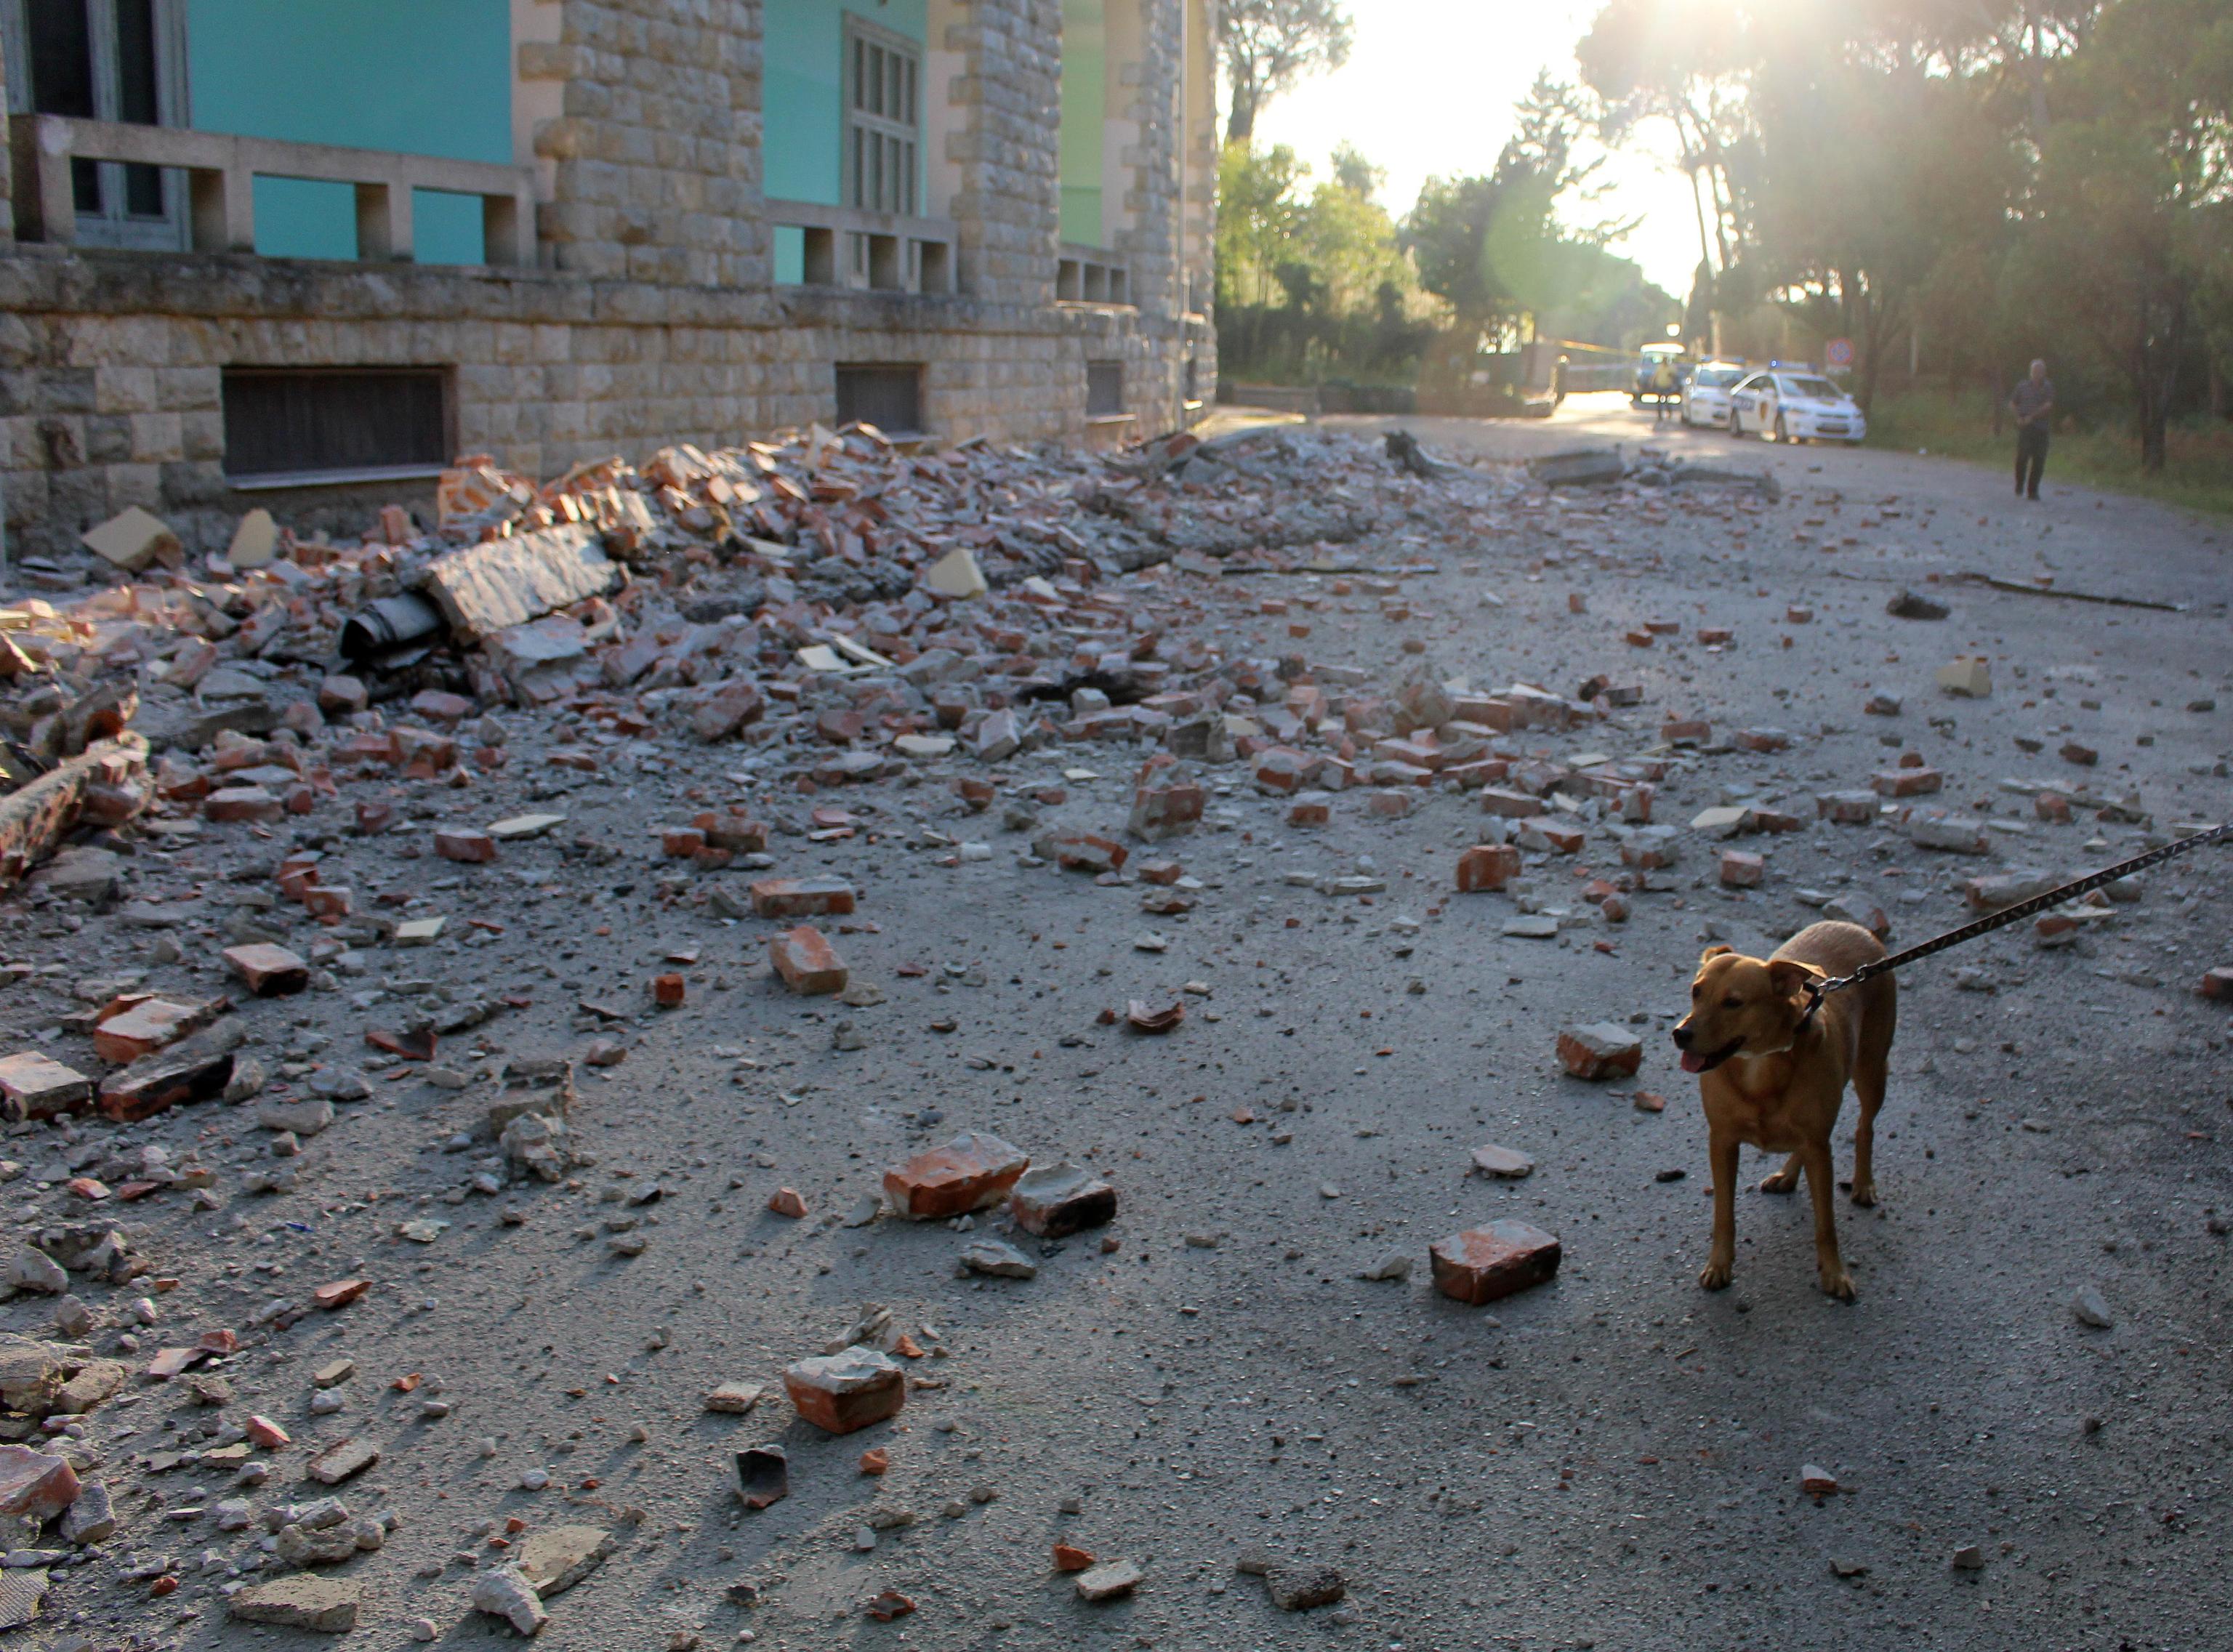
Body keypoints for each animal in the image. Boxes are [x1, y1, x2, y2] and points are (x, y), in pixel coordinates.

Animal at [1670, 924, 1894, 1294]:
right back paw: (1787, 1176)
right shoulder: (1723, 1141)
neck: (1759, 1064)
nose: (1679, 1034)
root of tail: (1855, 927)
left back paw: (1863, 1184)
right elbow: (1724, 1214)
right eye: (1696, 992)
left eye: (1733, 1003)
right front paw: (1719, 1266)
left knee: (1865, 1127)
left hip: (1872, 1070)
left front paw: (1835, 1273)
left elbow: (1826, 1223)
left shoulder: (1819, 1145)